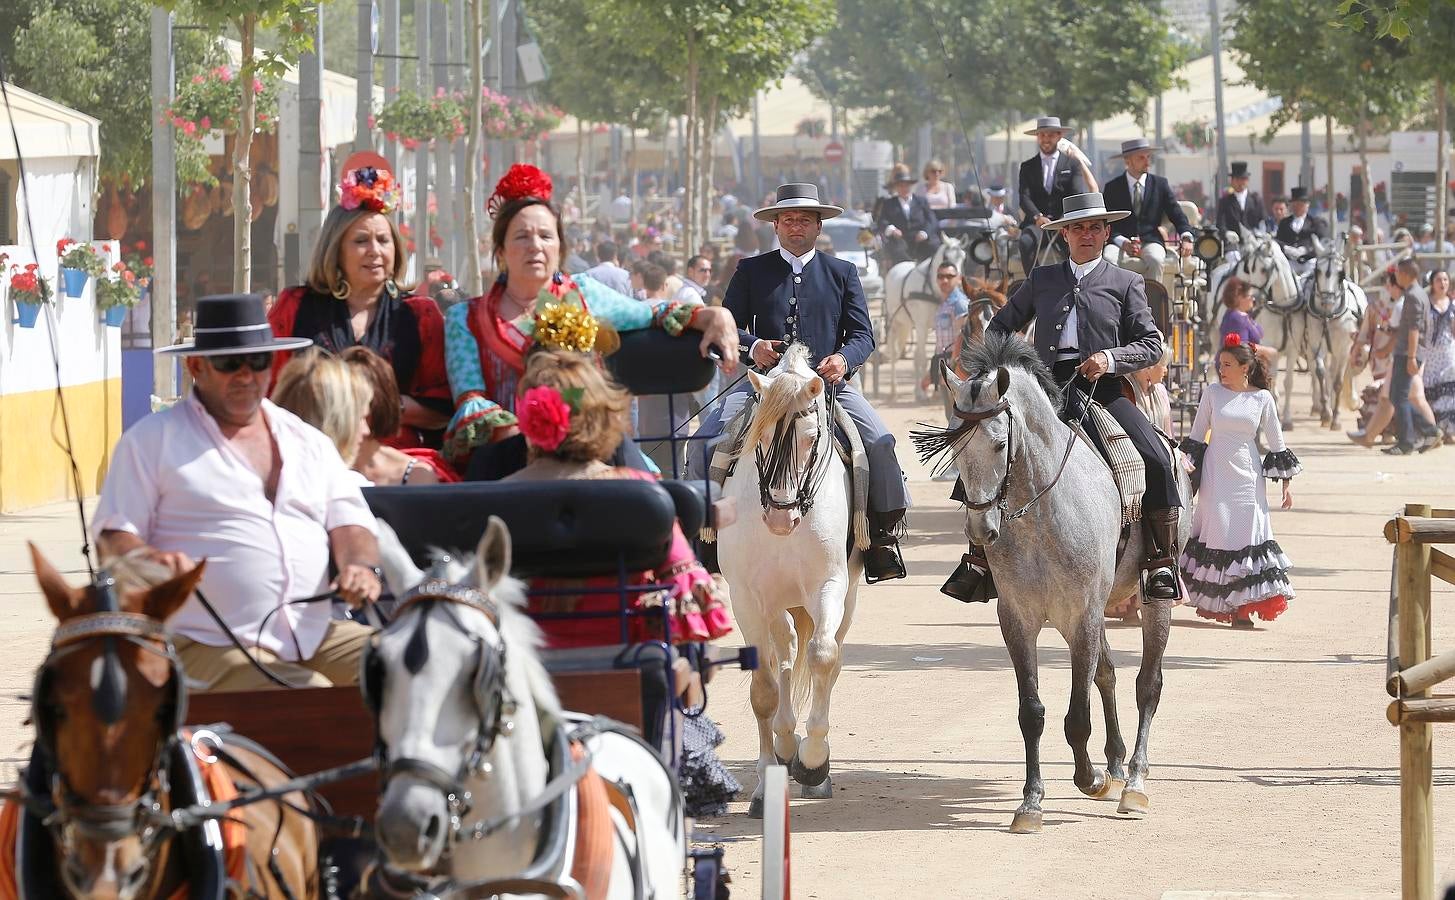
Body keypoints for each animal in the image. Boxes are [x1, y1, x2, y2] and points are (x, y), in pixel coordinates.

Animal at [925, 332, 1187, 837]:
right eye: (954, 449)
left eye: (998, 443)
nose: (980, 531)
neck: (1041, 513)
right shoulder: (1018, 619)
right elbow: (1033, 712)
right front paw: (1031, 803)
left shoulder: (1081, 615)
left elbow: (1077, 717)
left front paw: (1089, 780)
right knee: (1107, 675)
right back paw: (1116, 764)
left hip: (1149, 599)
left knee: (1148, 684)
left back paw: (1134, 783)